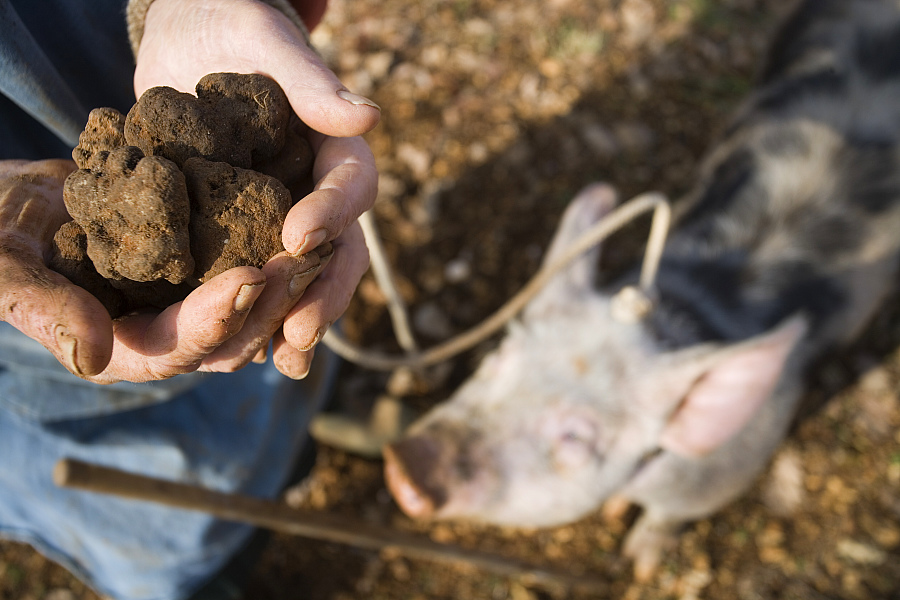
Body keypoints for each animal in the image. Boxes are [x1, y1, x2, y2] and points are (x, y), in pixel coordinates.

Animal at [384, 0, 900, 580]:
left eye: (576, 437)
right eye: (497, 358)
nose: (407, 465)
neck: (677, 311)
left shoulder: (724, 475)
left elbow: (665, 518)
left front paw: (640, 567)